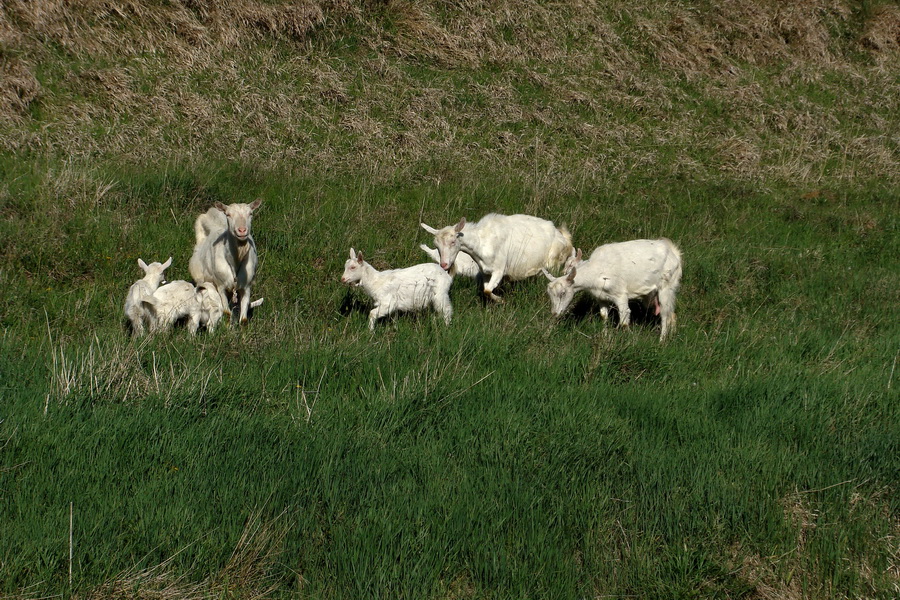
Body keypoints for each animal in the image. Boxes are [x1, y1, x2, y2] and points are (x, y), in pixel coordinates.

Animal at [420, 213, 568, 302]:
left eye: (452, 242)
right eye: (436, 245)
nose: (444, 265)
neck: (482, 242)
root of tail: (563, 237)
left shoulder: (499, 269)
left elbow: (487, 290)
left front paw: (501, 300)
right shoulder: (486, 272)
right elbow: (486, 290)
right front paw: (498, 299)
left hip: (552, 264)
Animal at [540, 239, 684, 342]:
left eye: (563, 293)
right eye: (550, 295)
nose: (555, 313)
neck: (597, 270)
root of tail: (675, 254)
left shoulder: (620, 295)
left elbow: (624, 320)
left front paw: (627, 341)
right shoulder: (601, 297)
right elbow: (604, 315)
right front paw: (604, 335)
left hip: (667, 287)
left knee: (665, 314)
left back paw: (661, 341)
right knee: (671, 314)